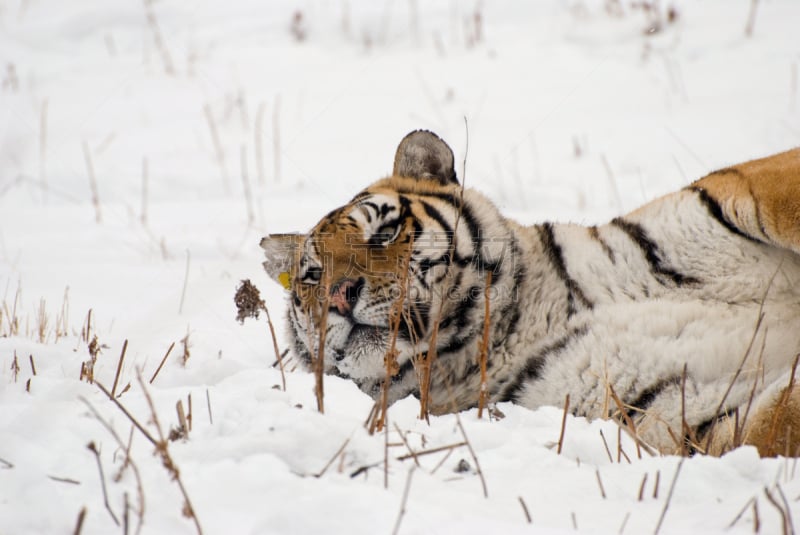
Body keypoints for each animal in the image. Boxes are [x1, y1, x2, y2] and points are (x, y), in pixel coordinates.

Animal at [260, 130, 800, 456]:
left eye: (384, 233)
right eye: (312, 275)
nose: (339, 295)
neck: (516, 328)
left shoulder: (746, 192)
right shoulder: (684, 412)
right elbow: (780, 420)